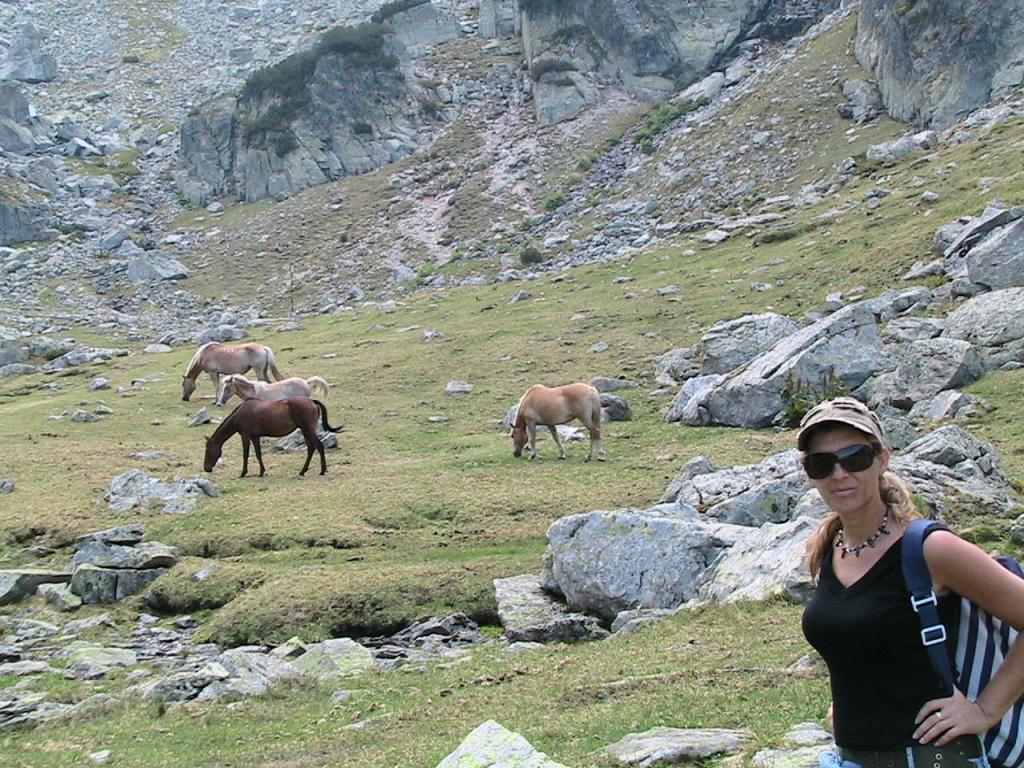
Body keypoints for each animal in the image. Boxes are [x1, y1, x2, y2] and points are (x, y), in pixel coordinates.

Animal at [203, 397, 341, 477]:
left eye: (208, 450)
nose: (206, 468)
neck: (240, 413)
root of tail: (312, 401)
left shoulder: (246, 436)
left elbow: (245, 455)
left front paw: (243, 473)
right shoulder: (255, 437)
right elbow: (258, 454)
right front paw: (261, 472)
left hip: (308, 430)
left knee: (318, 447)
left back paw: (321, 470)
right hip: (305, 431)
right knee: (312, 449)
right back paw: (303, 471)